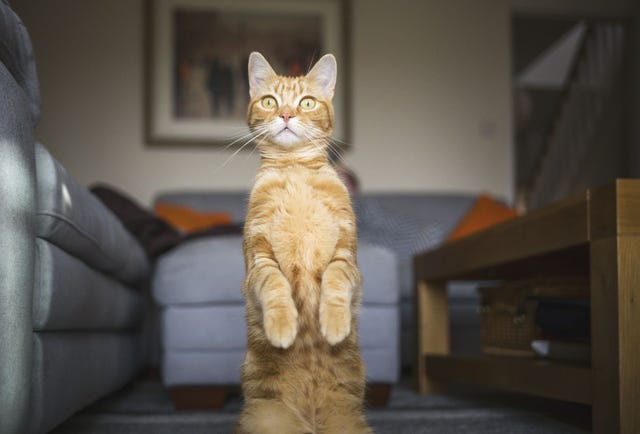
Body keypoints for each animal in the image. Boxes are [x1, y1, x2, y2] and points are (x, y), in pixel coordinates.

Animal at [236, 51, 372, 434]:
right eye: (270, 101)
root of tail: (311, 425)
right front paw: (283, 327)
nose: (286, 115)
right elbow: (276, 287)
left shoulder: (346, 255)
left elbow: (336, 282)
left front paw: (335, 323)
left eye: (306, 102)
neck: (294, 172)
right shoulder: (259, 258)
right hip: (265, 422)